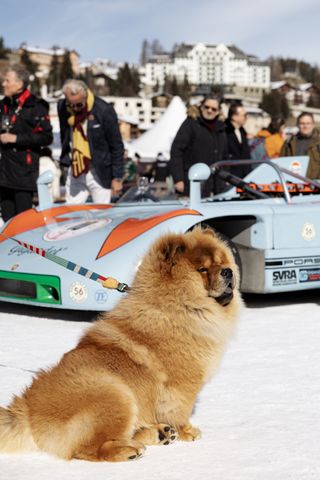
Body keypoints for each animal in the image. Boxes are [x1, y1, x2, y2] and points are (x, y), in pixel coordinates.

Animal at [0, 228, 240, 462]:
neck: (177, 308)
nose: (228, 271)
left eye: (222, 262)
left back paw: (159, 433)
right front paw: (187, 431)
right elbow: (179, 410)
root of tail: (27, 409)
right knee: (90, 449)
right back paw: (129, 450)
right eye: (202, 269)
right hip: (115, 394)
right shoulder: (181, 385)